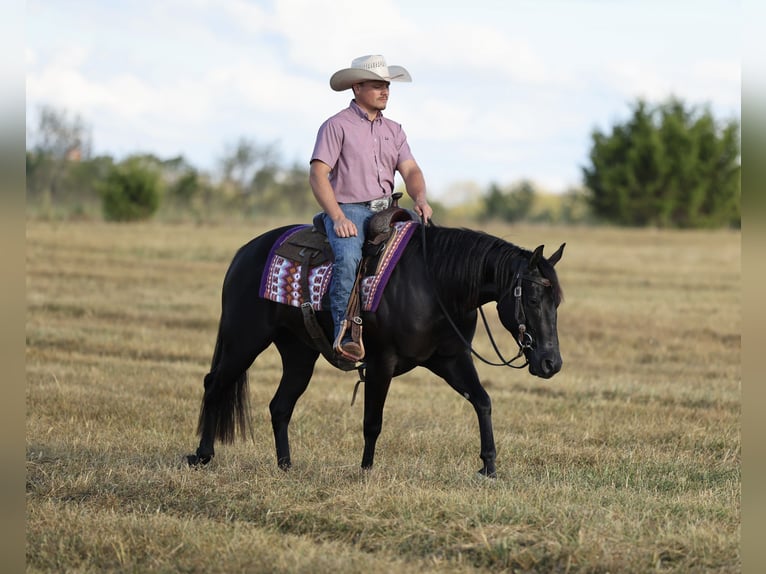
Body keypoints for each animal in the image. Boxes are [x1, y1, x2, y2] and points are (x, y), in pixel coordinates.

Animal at [186, 221, 565, 477]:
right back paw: (202, 455)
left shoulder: (450, 359)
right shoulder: (382, 362)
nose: (551, 363)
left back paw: (286, 466)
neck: (436, 284)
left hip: (299, 354)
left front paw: (489, 466)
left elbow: (483, 401)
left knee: (280, 406)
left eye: (557, 301)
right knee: (215, 383)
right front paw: (366, 469)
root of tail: (244, 252)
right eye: (533, 299)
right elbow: (373, 420)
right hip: (244, 339)